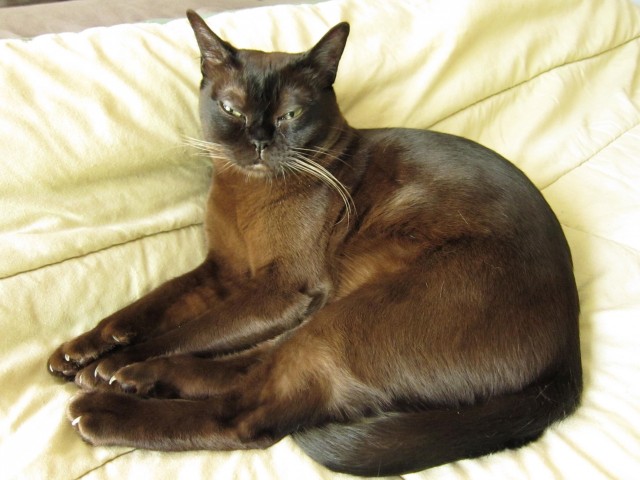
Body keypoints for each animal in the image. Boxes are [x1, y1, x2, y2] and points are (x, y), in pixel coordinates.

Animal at [47, 10, 584, 476]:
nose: (259, 140)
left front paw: (110, 364)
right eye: (231, 109)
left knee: (248, 415)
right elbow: (152, 306)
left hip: (347, 318)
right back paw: (141, 378)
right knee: (250, 366)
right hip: (330, 313)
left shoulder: (281, 288)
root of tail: (568, 364)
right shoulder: (223, 273)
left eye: (290, 114)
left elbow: (187, 330)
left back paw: (107, 403)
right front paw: (78, 353)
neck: (245, 191)